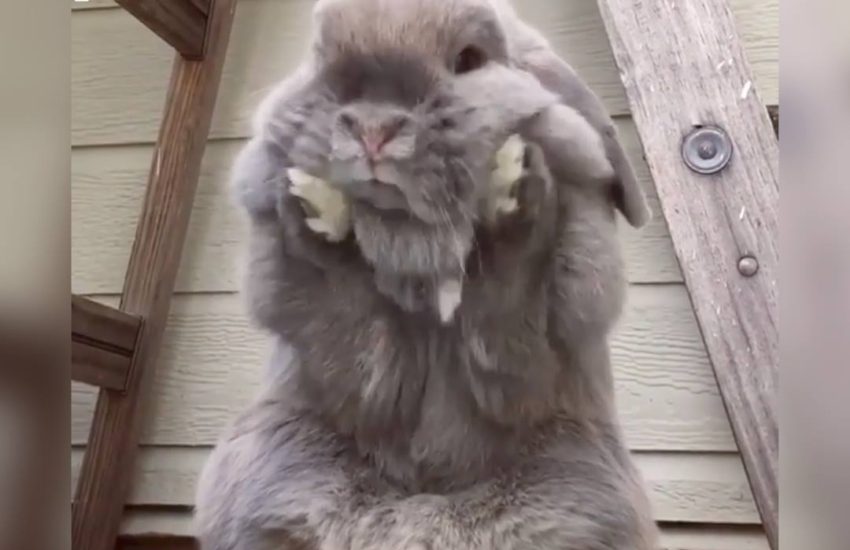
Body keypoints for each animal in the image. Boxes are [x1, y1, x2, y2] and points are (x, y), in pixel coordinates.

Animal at [194, 1, 660, 549]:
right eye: (320, 56)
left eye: (470, 58)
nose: (372, 127)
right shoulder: (354, 359)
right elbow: (347, 318)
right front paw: (312, 208)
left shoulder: (541, 351)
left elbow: (512, 301)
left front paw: (514, 184)